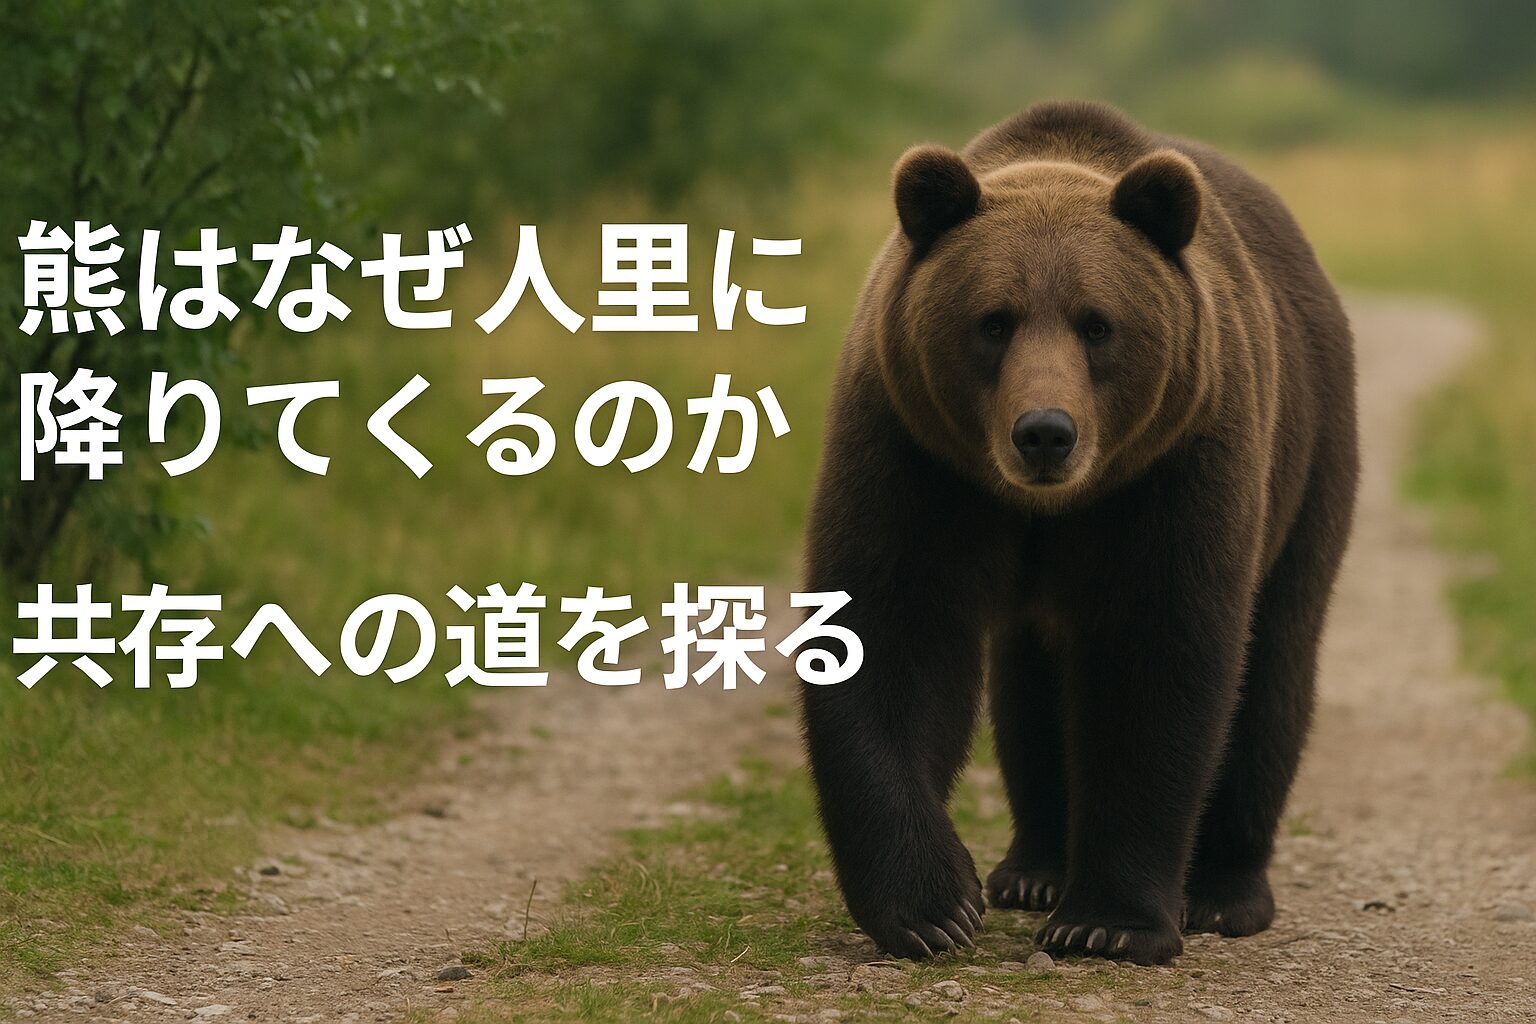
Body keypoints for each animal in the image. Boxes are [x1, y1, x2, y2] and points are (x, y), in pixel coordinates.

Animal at [798, 100, 1358, 966]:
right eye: (994, 322)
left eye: (1098, 325)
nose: (1045, 433)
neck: (1046, 507)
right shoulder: (913, 452)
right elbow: (888, 630)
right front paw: (932, 905)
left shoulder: (1172, 468)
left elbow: (1157, 660)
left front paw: (1108, 922)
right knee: (1027, 690)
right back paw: (1032, 869)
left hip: (1308, 460)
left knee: (1274, 672)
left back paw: (1225, 891)